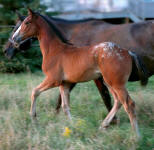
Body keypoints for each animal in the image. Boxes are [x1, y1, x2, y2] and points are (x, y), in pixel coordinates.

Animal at [12, 8, 141, 137]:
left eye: (27, 22)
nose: (14, 38)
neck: (54, 50)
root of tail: (127, 52)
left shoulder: (53, 80)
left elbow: (35, 92)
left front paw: (33, 118)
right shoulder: (64, 83)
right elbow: (65, 106)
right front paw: (73, 126)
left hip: (116, 84)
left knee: (129, 104)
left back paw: (136, 136)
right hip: (109, 82)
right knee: (118, 101)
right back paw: (103, 126)